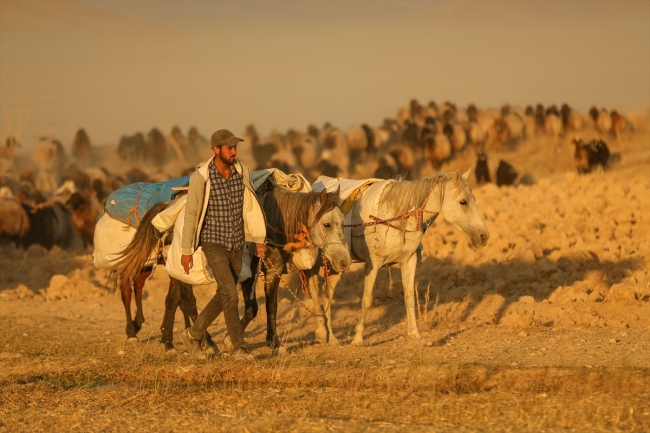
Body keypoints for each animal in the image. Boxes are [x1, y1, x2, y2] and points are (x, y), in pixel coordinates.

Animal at [234, 180, 350, 352]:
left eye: (343, 223)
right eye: (327, 224)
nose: (344, 261)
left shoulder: (274, 272)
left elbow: (271, 306)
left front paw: (272, 341)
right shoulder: (250, 274)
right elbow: (256, 307)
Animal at [308, 168, 486, 344]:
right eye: (463, 202)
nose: (484, 236)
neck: (396, 218)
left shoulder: (409, 261)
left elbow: (409, 297)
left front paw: (415, 335)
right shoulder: (373, 263)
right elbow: (367, 299)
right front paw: (358, 339)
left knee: (324, 294)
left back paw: (326, 335)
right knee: (319, 294)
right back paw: (327, 335)